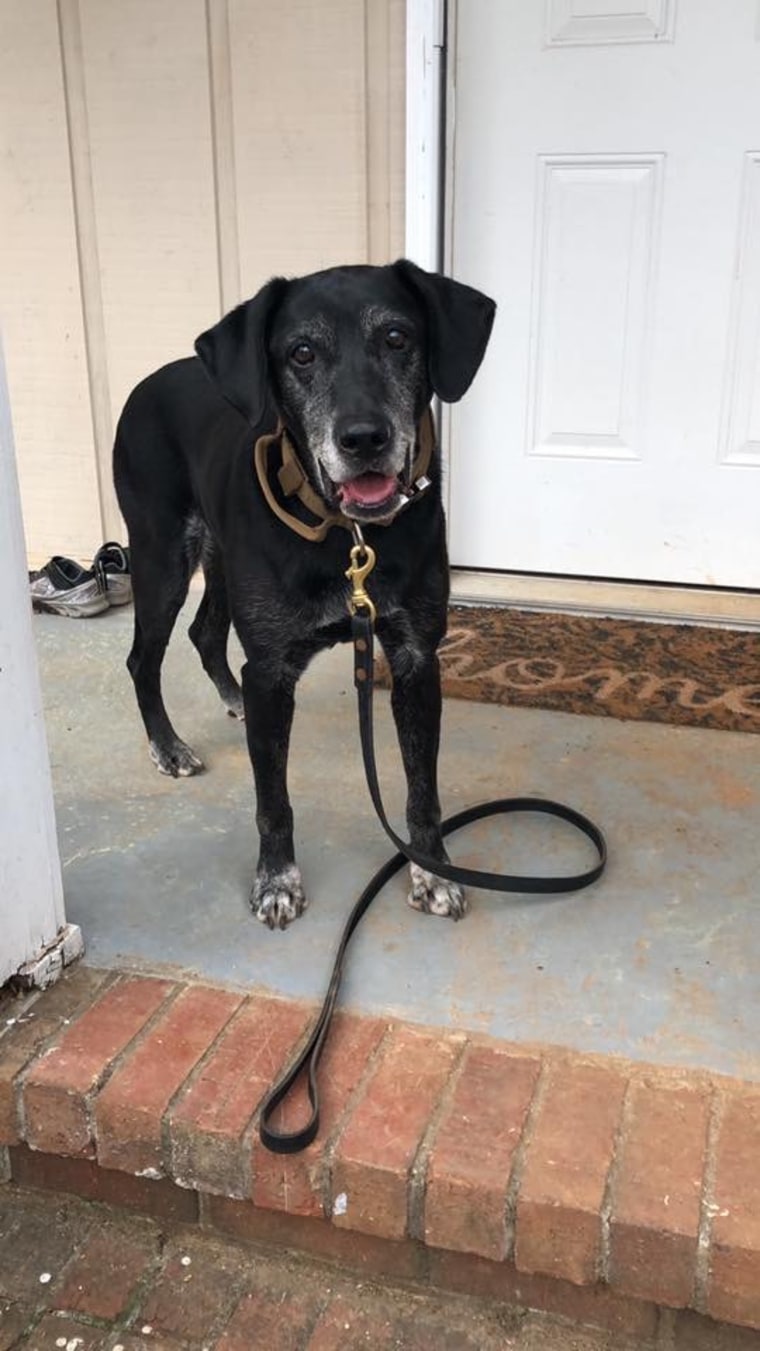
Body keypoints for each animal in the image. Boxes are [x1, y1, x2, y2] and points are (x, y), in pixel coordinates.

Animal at [111, 258, 494, 924]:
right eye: (302, 353)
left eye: (398, 338)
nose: (363, 439)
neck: (349, 537)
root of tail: (143, 386)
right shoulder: (271, 667)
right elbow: (273, 799)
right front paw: (277, 879)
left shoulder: (416, 658)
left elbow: (422, 787)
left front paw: (431, 869)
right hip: (162, 558)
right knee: (143, 658)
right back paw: (169, 747)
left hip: (219, 557)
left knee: (204, 631)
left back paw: (232, 700)